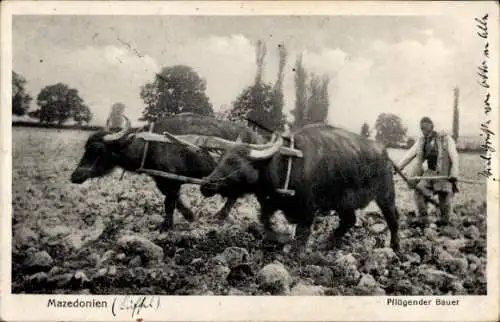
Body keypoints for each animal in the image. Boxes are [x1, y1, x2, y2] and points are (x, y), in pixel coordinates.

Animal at [71, 113, 266, 231]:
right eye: (86, 147)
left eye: (97, 149)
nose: (75, 176)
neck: (151, 145)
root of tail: (258, 139)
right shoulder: (164, 180)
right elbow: (175, 200)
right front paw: (190, 215)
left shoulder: (171, 181)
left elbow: (169, 203)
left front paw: (166, 226)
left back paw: (221, 215)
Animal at [201, 123, 400, 256]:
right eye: (221, 158)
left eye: (234, 162)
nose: (205, 185)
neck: (284, 164)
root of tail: (384, 152)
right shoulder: (271, 202)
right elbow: (265, 220)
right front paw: (279, 237)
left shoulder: (308, 209)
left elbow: (302, 233)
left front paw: (295, 252)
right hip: (344, 202)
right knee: (349, 220)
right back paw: (328, 243)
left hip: (385, 195)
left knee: (393, 220)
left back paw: (395, 248)